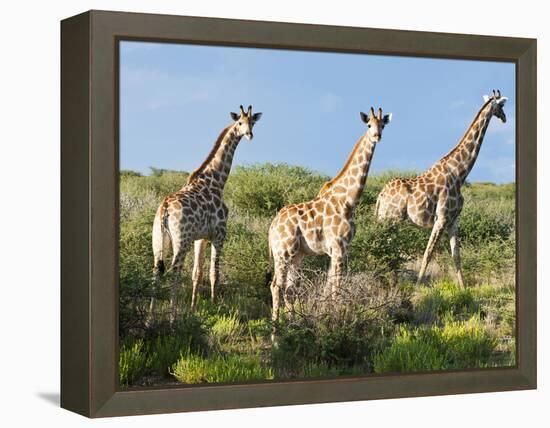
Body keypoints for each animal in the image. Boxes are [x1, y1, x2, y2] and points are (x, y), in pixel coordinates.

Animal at [150, 104, 264, 320]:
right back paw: (172, 317)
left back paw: (150, 318)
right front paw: (214, 306)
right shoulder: (219, 234)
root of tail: (165, 209)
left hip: (159, 239)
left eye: (252, 122)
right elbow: (214, 273)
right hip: (181, 239)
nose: (249, 134)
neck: (217, 181)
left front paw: (194, 308)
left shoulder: (200, 237)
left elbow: (197, 273)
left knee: (156, 271)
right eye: (239, 122)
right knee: (174, 271)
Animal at [268, 107, 392, 320]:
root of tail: (272, 227)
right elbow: (336, 286)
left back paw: (291, 322)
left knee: (289, 289)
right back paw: (275, 325)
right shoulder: (339, 245)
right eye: (369, 125)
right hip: (283, 251)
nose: (377, 136)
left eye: (383, 124)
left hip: (297, 255)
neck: (348, 200)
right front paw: (336, 314)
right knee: (276, 285)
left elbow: (330, 284)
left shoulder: (338, 248)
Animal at [376, 89, 508, 288]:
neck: (459, 173)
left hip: (387, 220)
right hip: (391, 220)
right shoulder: (441, 218)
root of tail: (381, 195)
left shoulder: (453, 220)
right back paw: (390, 281)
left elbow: (456, 255)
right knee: (387, 246)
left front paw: (463, 288)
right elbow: (428, 253)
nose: (505, 118)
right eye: (501, 105)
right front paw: (418, 286)